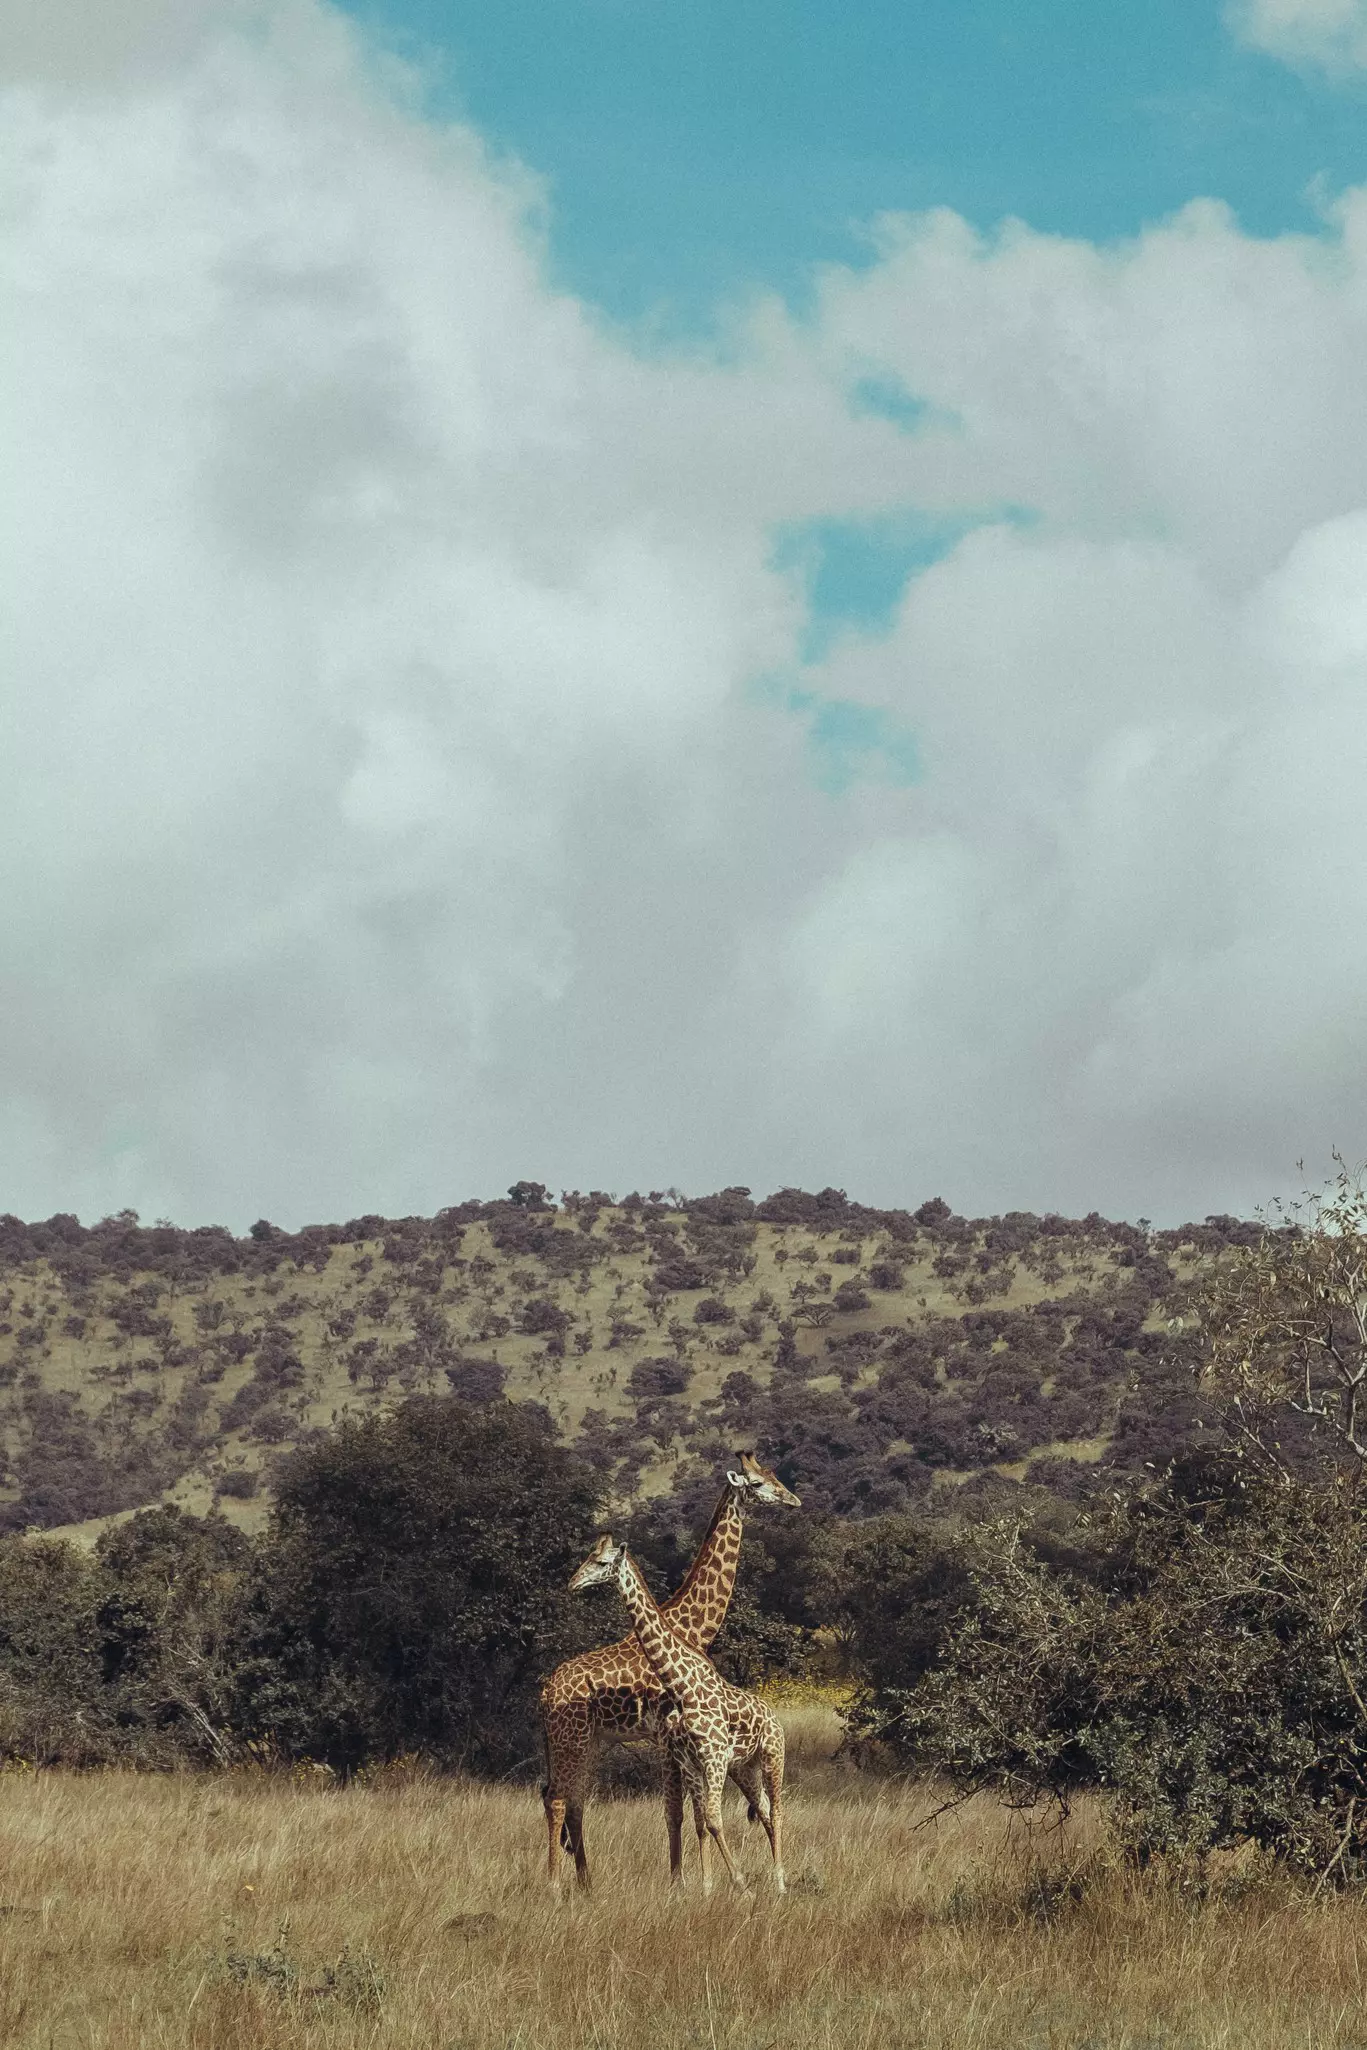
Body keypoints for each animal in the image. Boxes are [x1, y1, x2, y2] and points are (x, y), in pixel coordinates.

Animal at [569, 1534, 787, 1895]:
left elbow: (713, 1819)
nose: (573, 1582)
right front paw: (709, 1887)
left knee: (779, 1812)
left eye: (601, 1562)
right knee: (766, 1812)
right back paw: (776, 1879)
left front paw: (740, 1884)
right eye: (587, 1556)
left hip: (772, 1756)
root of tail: (775, 1717)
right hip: (744, 1767)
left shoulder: (713, 1757)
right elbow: (702, 1822)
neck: (681, 1686)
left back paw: (782, 1882)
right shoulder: (690, 1761)